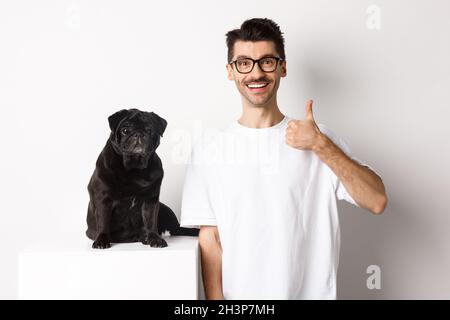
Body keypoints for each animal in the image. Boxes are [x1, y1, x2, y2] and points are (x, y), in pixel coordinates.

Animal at [86, 109, 199, 249]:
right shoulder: (103, 199)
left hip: (165, 209)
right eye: (125, 130)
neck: (134, 167)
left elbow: (150, 221)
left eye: (149, 130)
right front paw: (102, 240)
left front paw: (154, 238)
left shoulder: (151, 199)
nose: (138, 134)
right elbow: (103, 221)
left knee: (178, 229)